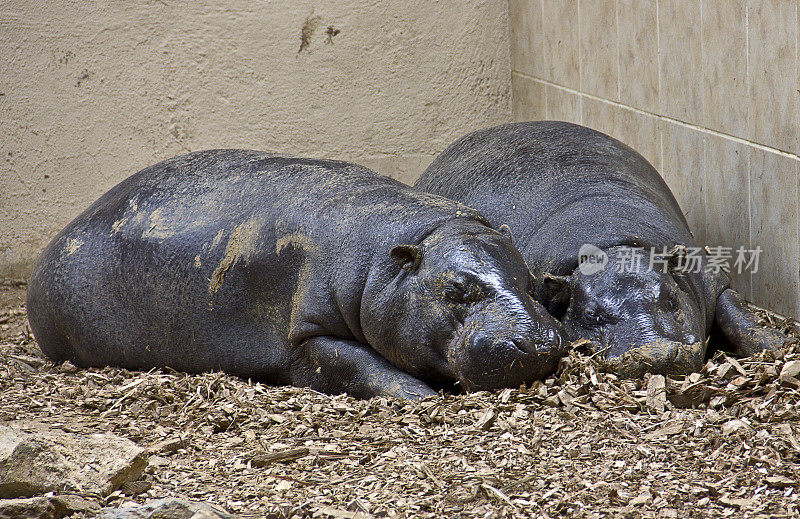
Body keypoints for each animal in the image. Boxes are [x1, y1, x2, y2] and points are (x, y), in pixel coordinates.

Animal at [26, 149, 568, 398]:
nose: (538, 343)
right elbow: (357, 364)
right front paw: (422, 396)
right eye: (457, 288)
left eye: (531, 282)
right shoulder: (305, 333)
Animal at [416, 121, 792, 378]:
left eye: (672, 300)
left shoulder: (710, 278)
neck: (614, 247)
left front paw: (779, 345)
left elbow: (736, 313)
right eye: (590, 316)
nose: (655, 354)